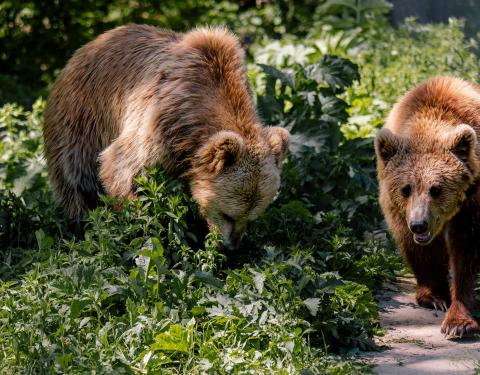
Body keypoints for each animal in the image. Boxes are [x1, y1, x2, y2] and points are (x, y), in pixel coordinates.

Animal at [43, 25, 288, 251]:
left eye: (252, 216)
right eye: (228, 215)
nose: (232, 245)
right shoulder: (158, 121)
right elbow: (122, 169)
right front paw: (144, 228)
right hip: (81, 120)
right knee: (77, 178)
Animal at [376, 77, 480, 340]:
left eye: (437, 189)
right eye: (406, 189)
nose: (419, 224)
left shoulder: (472, 200)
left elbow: (466, 250)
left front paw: (458, 322)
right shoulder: (396, 207)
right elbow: (419, 248)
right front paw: (434, 295)